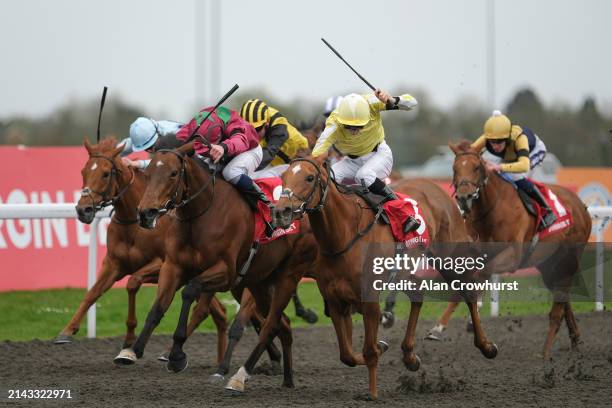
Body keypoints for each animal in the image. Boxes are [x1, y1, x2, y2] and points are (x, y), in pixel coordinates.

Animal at [54, 137, 230, 364]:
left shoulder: (163, 265)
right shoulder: (113, 263)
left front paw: (129, 342)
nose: (83, 210)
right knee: (219, 313)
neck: (133, 224)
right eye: (83, 171)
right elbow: (93, 292)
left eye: (105, 173)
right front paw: (67, 331)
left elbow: (132, 282)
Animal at [122, 143, 318, 388]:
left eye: (173, 173)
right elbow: (157, 308)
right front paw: (133, 350)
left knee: (270, 322)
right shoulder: (172, 267)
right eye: (147, 174)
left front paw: (177, 355)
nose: (145, 213)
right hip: (260, 284)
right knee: (283, 324)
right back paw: (287, 379)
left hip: (285, 275)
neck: (202, 215)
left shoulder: (225, 272)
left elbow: (190, 291)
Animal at [268, 155, 498, 398]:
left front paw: (372, 393)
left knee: (468, 292)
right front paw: (382, 347)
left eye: (309, 178)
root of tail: (439, 189)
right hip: (407, 272)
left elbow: (368, 350)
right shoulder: (335, 300)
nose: (281, 211)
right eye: (283, 176)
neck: (344, 235)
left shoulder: (369, 300)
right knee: (418, 298)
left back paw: (486, 346)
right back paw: (410, 356)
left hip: (452, 258)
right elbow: (347, 354)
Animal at [444, 142, 592, 358]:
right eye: (454, 168)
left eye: (477, 167)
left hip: (568, 260)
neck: (490, 209)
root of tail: (581, 205)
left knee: (558, 306)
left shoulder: (512, 256)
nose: (464, 197)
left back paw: (545, 353)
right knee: (563, 298)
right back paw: (575, 340)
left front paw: (475, 319)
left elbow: (483, 274)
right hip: (548, 265)